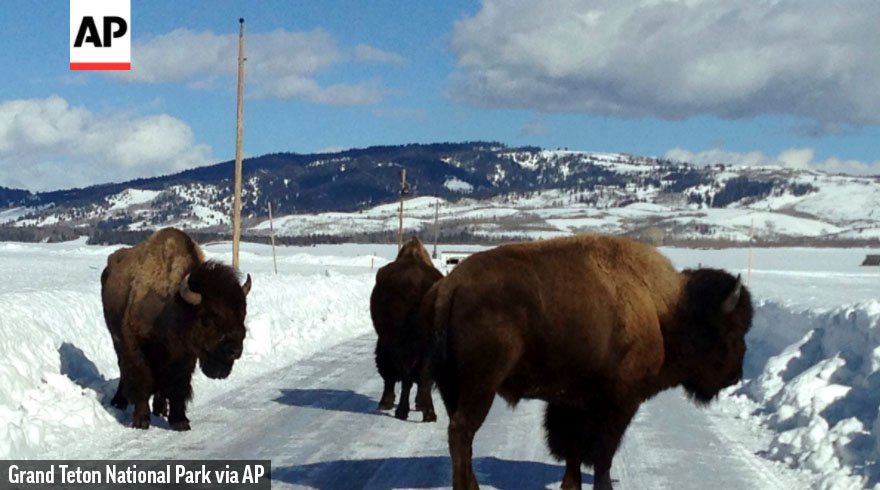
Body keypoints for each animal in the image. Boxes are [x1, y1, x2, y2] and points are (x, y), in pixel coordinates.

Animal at [101, 227, 252, 430]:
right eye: (207, 318)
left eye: (243, 313)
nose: (234, 350)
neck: (175, 306)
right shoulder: (135, 345)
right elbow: (142, 378)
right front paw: (141, 421)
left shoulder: (184, 356)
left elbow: (178, 385)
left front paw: (180, 421)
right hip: (116, 338)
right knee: (125, 370)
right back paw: (119, 402)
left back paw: (160, 409)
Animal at [369, 237, 443, 422]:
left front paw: (385, 402)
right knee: (421, 375)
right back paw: (428, 413)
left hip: (400, 346)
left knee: (407, 375)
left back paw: (403, 411)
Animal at [425, 234, 752, 489]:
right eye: (731, 329)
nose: (736, 374)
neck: (664, 309)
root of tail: (450, 287)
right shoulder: (619, 402)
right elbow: (602, 456)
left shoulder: (572, 403)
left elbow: (574, 452)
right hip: (481, 386)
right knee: (462, 432)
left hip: (452, 387)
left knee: (461, 437)